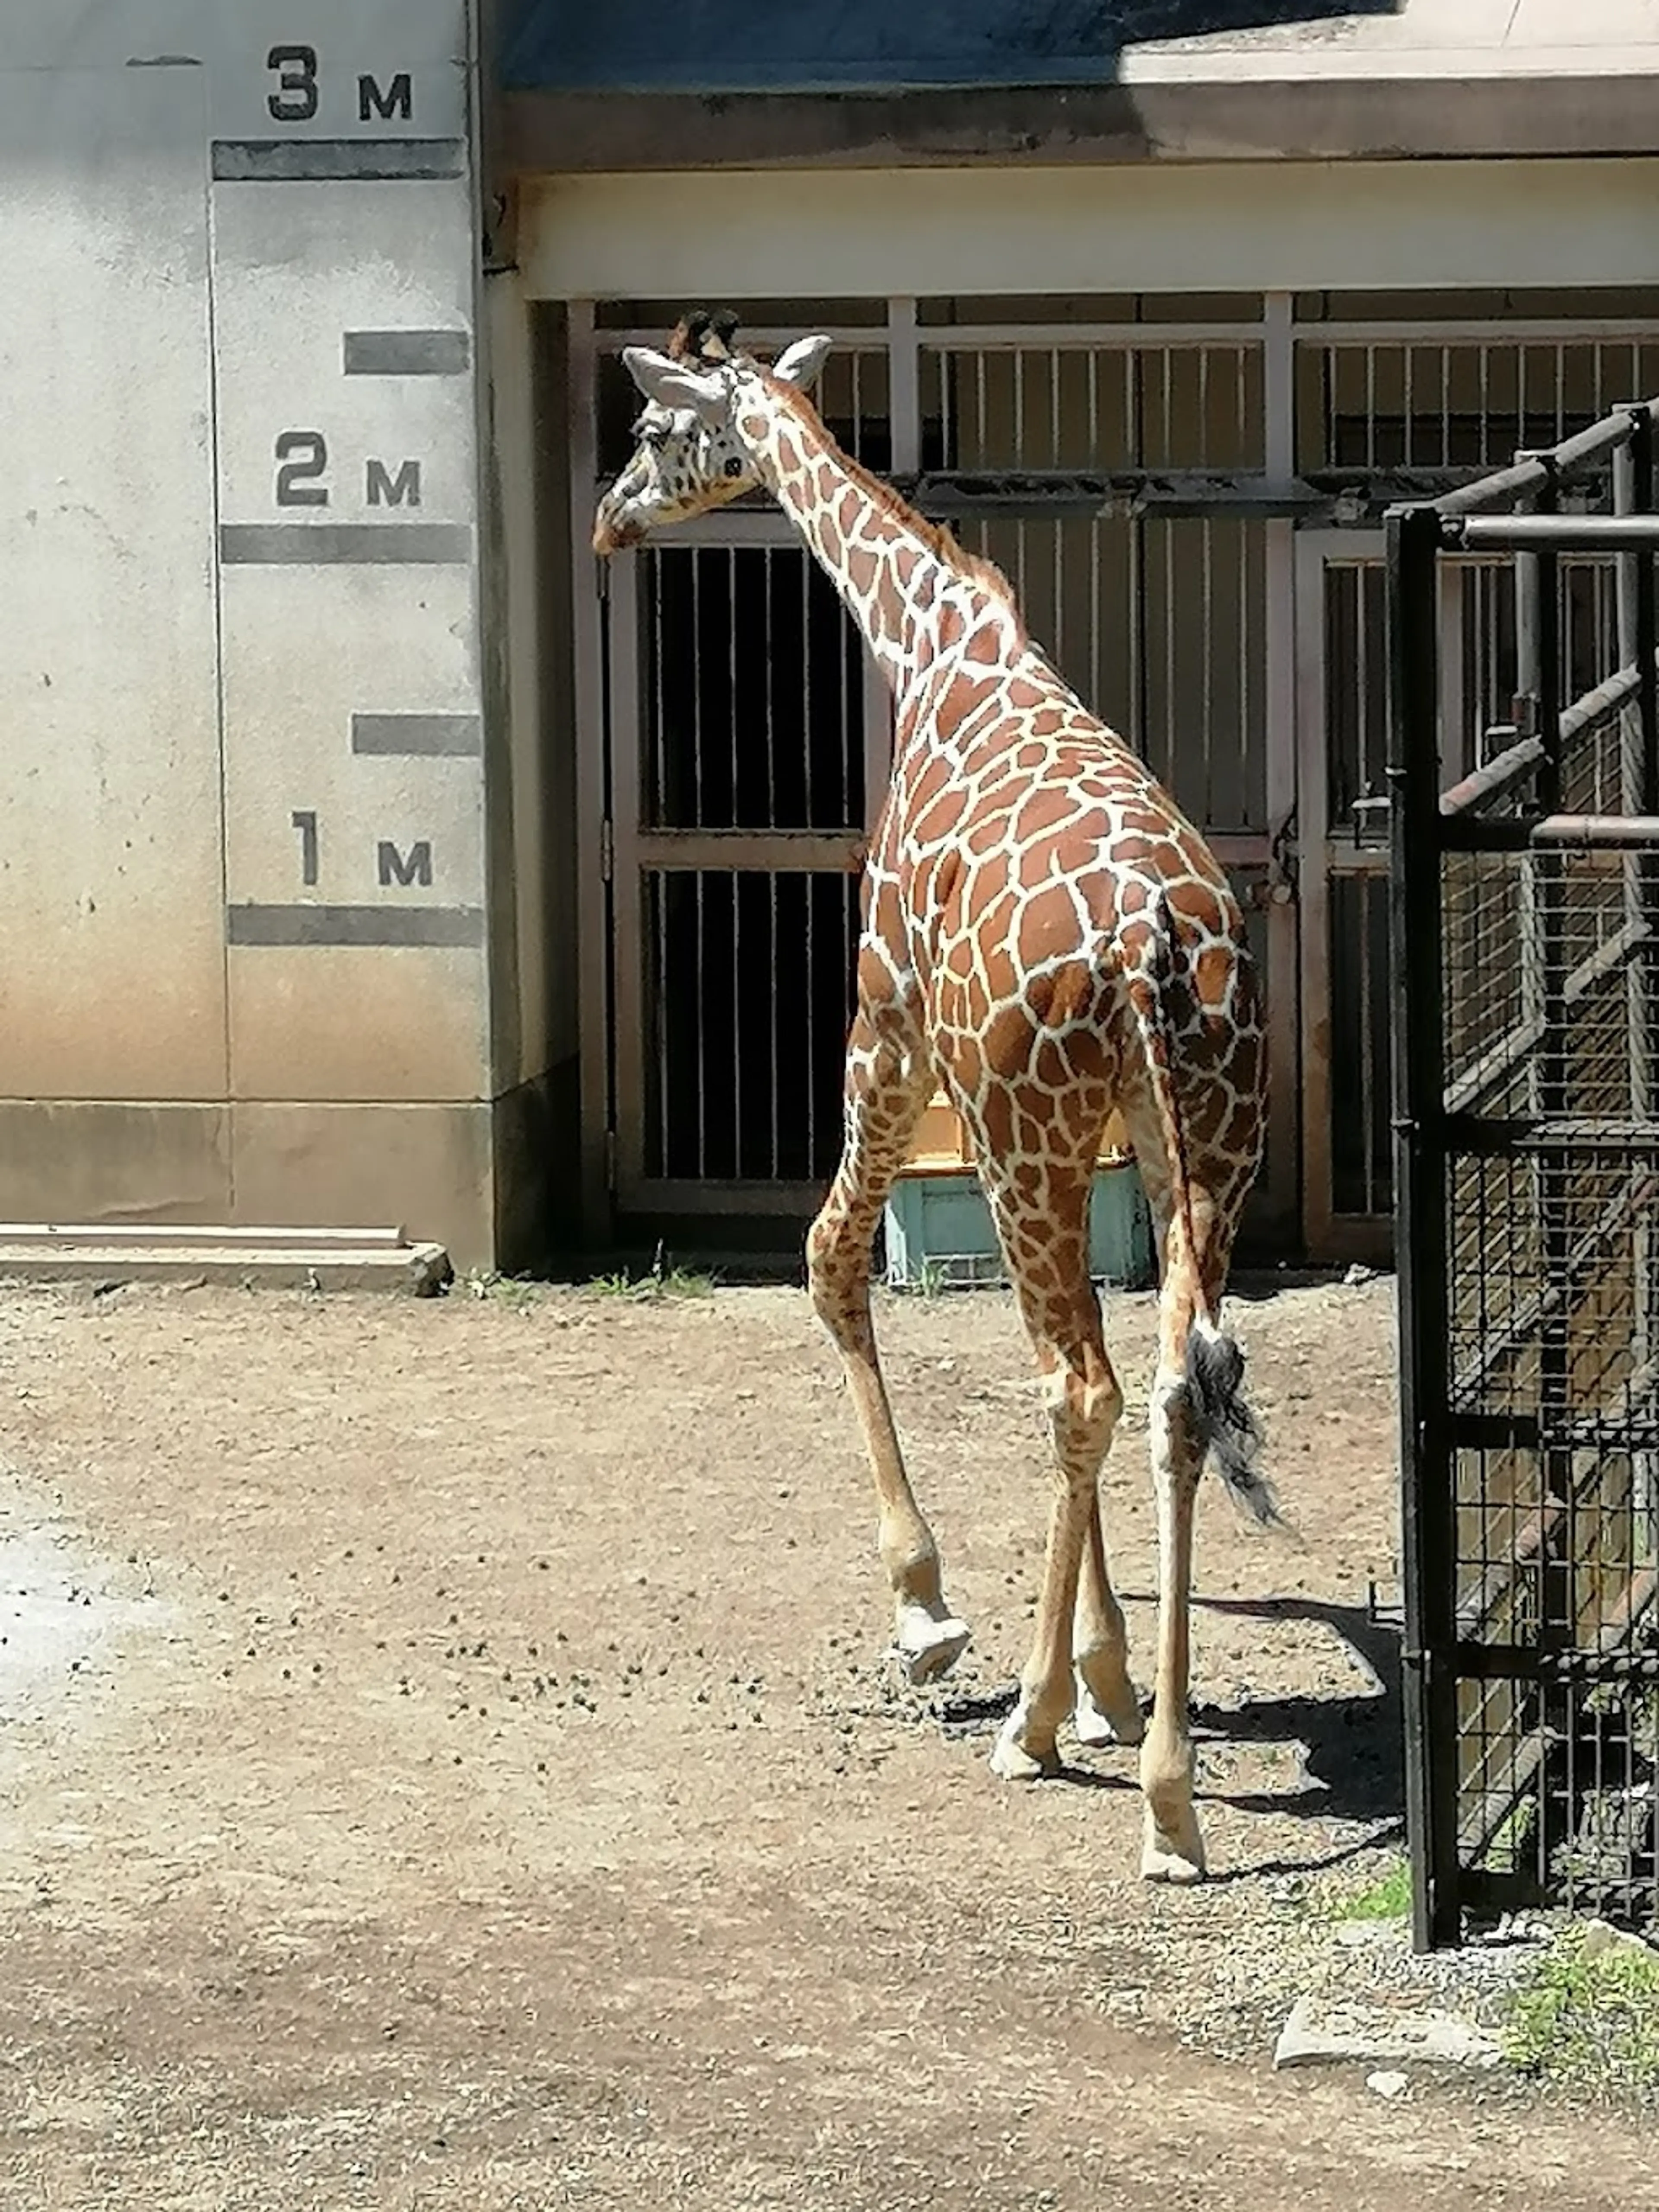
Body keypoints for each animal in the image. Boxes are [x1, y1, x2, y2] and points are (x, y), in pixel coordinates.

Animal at [597, 312, 1283, 1884]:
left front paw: (931, 1611)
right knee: (1167, 1388)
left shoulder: (888, 1025)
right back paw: (1166, 1795)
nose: (607, 519)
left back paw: (1032, 1731)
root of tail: (1153, 944)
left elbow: (829, 1257)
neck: (926, 640)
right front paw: (1108, 1681)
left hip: (1024, 1134)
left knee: (1079, 1384)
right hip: (1204, 1142)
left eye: (655, 431)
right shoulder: (1097, 1126)